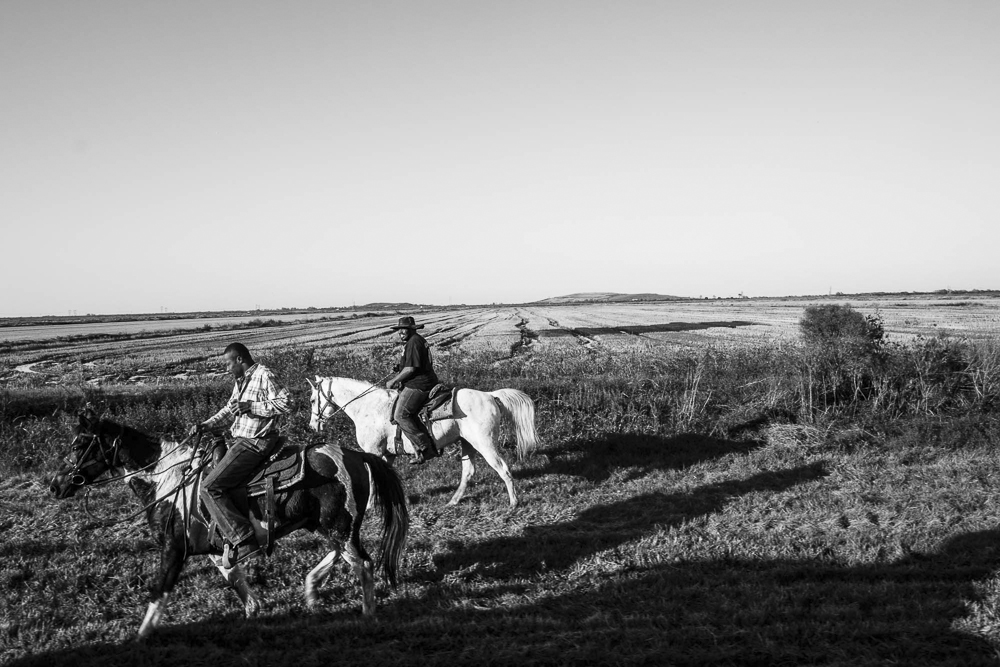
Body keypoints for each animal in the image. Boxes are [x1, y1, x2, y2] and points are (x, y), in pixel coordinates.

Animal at [48, 414, 408, 640]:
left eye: (79, 444)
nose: (55, 485)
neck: (169, 479)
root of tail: (358, 456)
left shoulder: (173, 548)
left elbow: (159, 591)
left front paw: (141, 635)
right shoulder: (211, 546)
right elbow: (233, 578)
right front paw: (254, 610)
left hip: (339, 526)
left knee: (363, 563)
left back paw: (367, 615)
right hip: (327, 526)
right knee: (340, 554)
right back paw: (311, 590)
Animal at [310, 378, 540, 508]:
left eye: (312, 399)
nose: (313, 425)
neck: (369, 407)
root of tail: (490, 396)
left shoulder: (373, 451)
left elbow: (373, 479)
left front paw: (368, 507)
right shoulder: (387, 455)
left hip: (485, 444)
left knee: (503, 469)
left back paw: (513, 503)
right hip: (467, 443)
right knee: (468, 472)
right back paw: (453, 501)